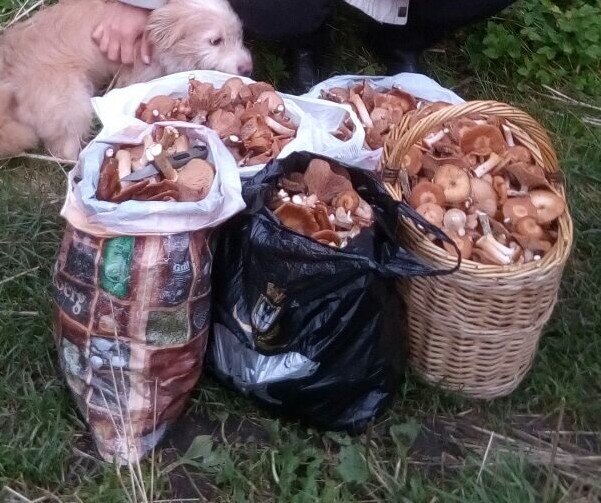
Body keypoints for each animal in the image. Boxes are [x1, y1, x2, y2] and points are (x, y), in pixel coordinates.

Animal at [0, 0, 252, 160]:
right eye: (215, 41)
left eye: (238, 35)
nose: (248, 68)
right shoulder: (135, 76)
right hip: (71, 103)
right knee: (64, 148)